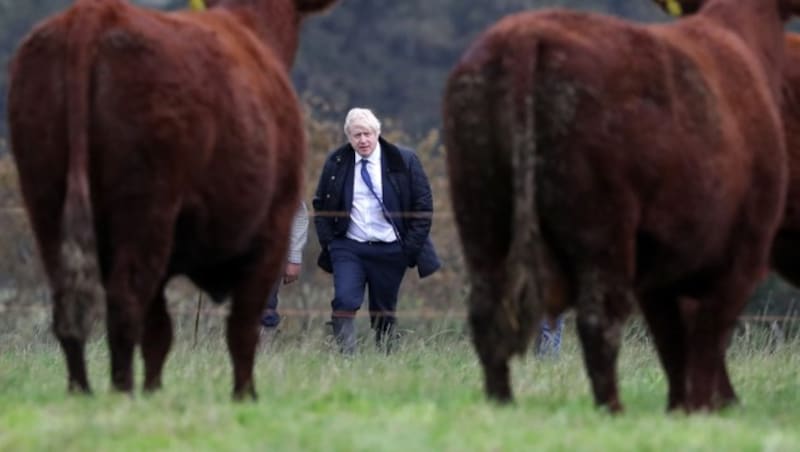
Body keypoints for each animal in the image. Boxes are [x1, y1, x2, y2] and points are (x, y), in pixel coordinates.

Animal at [6, 0, 338, 398]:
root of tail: (93, 14)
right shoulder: (274, 224)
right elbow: (241, 326)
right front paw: (244, 396)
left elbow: (159, 332)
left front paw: (156, 390)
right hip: (147, 209)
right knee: (125, 301)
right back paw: (122, 392)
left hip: (46, 202)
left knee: (70, 304)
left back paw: (82, 392)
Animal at [444, 0, 800, 412]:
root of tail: (523, 33)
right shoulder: (741, 256)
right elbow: (704, 344)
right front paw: (699, 411)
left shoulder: (663, 273)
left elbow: (675, 349)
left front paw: (679, 411)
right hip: (602, 228)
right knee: (600, 320)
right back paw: (611, 411)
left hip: (480, 216)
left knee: (487, 313)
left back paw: (501, 405)